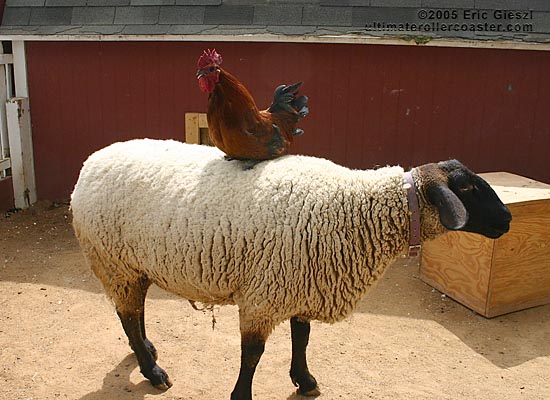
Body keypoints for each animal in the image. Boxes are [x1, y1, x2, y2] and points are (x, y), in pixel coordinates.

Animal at [70, 138, 512, 400]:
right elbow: (252, 355)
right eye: (467, 188)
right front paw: (242, 395)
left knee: (134, 312)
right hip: (113, 260)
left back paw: (146, 351)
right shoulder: (264, 295)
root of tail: (92, 160)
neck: (355, 208)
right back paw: (152, 370)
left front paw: (305, 379)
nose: (508, 219)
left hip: (132, 264)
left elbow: (302, 337)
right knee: (128, 315)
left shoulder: (304, 281)